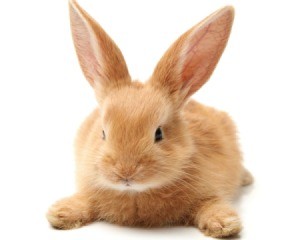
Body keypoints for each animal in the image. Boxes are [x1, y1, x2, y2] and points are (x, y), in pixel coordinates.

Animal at [47, 0, 253, 237]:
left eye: (159, 133)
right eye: (103, 133)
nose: (126, 172)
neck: (136, 193)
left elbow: (210, 204)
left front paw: (225, 224)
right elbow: (85, 200)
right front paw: (61, 214)